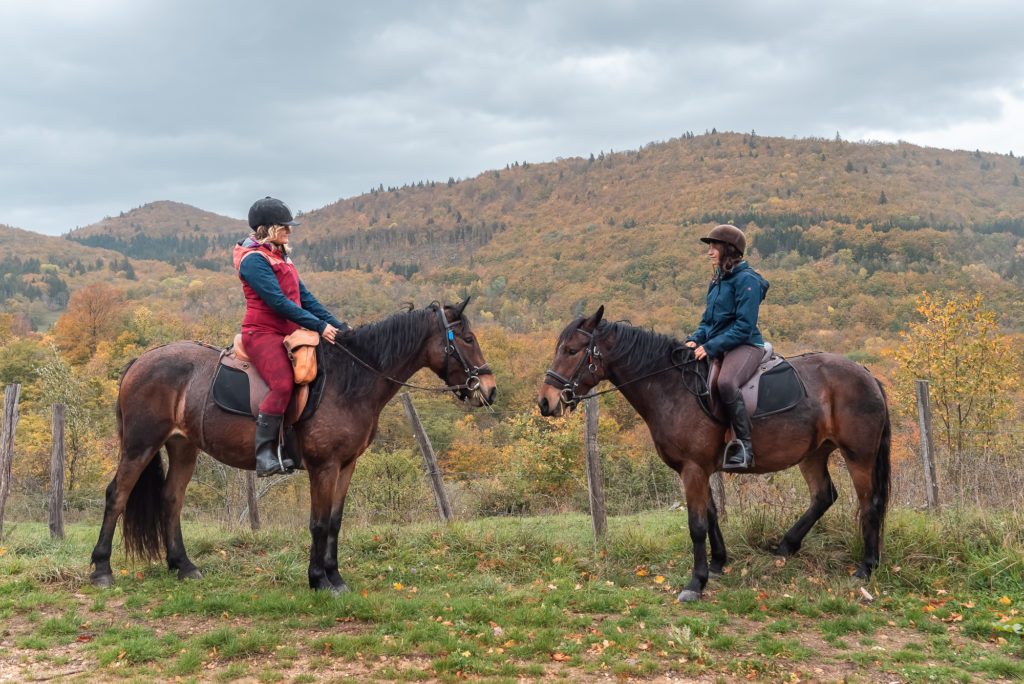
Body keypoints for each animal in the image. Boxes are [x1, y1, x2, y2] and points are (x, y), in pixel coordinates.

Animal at [90, 298, 497, 593]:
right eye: (468, 339)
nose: (489, 390)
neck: (351, 379)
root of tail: (140, 361)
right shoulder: (324, 466)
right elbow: (318, 523)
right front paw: (319, 580)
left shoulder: (346, 465)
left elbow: (335, 522)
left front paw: (335, 576)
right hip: (140, 445)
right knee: (117, 495)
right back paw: (101, 569)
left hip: (182, 447)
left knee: (171, 499)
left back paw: (183, 566)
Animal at [536, 307, 888, 602]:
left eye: (572, 351)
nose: (545, 402)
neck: (672, 389)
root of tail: (866, 373)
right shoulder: (700, 469)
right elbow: (712, 514)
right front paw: (718, 563)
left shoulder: (692, 469)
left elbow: (697, 525)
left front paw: (696, 582)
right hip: (813, 453)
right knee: (823, 496)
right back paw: (786, 546)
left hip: (858, 455)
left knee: (868, 504)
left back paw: (865, 568)